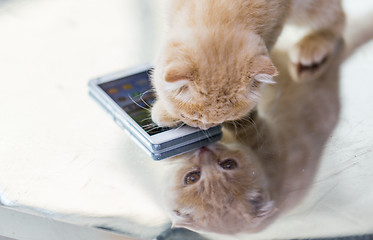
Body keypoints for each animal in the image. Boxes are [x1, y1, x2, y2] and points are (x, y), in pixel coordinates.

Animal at [150, 0, 344, 129]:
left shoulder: (277, 20)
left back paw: (314, 43)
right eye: (193, 118)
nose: (206, 128)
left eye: (228, 118)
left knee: (338, 17)